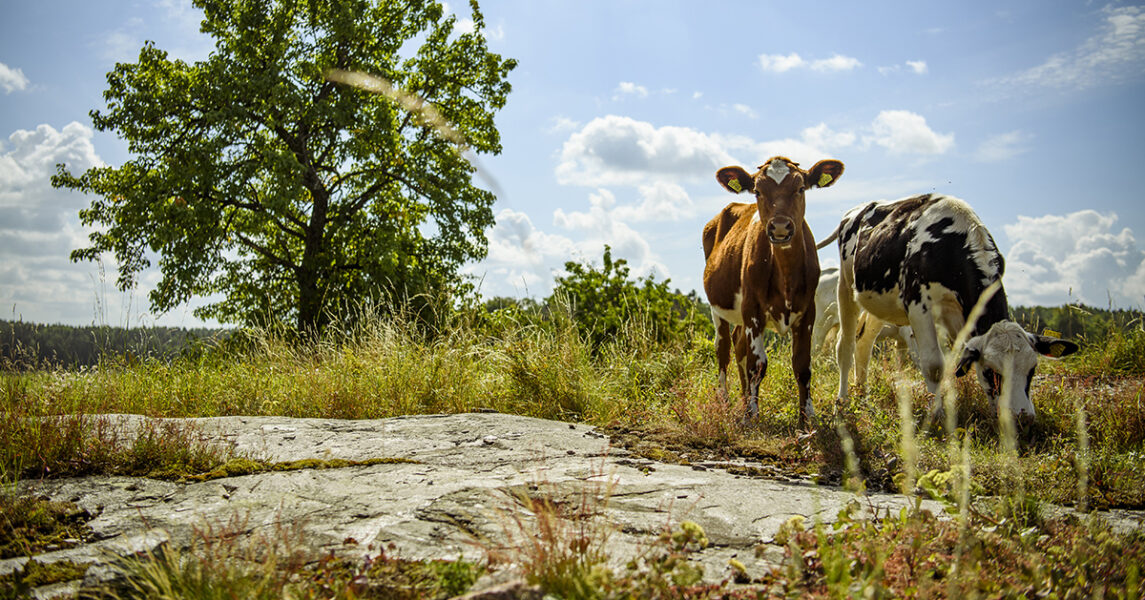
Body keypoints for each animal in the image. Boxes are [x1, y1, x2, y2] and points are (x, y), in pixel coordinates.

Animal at [700, 154, 847, 425]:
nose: (779, 227)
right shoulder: (753, 310)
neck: (785, 272)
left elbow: (802, 365)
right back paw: (725, 402)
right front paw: (751, 416)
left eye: (801, 188)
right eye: (757, 191)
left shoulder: (808, 312)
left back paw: (744, 398)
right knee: (723, 349)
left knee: (738, 345)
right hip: (719, 308)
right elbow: (757, 364)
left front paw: (806, 416)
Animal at [819, 194, 1076, 419]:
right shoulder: (918, 305)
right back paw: (843, 401)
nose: (1023, 416)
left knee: (864, 343)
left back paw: (862, 395)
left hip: (880, 302)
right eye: (991, 371)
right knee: (846, 346)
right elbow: (934, 365)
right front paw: (937, 414)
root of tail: (858, 209)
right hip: (846, 286)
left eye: (1031, 369)